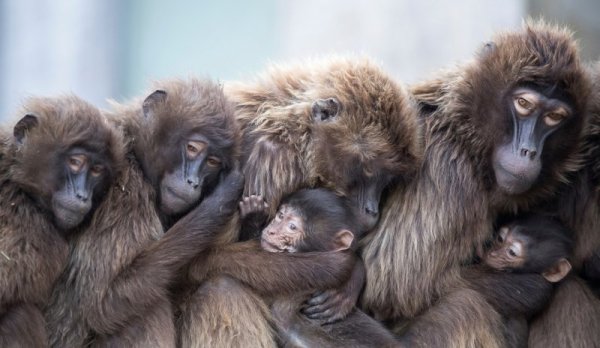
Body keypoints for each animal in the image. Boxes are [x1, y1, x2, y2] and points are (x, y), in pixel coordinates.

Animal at [44, 77, 245, 346]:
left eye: (212, 161)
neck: (136, 156)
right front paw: (224, 195)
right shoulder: (128, 193)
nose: (193, 182)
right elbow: (102, 303)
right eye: (192, 148)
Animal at [180, 55, 424, 346]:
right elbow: (200, 261)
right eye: (367, 170)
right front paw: (350, 271)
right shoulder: (268, 159)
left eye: (385, 179)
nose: (371, 209)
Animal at [358, 20, 592, 346]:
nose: (528, 151)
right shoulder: (446, 170)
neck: (465, 133)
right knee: (465, 308)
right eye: (523, 104)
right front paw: (532, 289)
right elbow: (393, 288)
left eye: (555, 116)